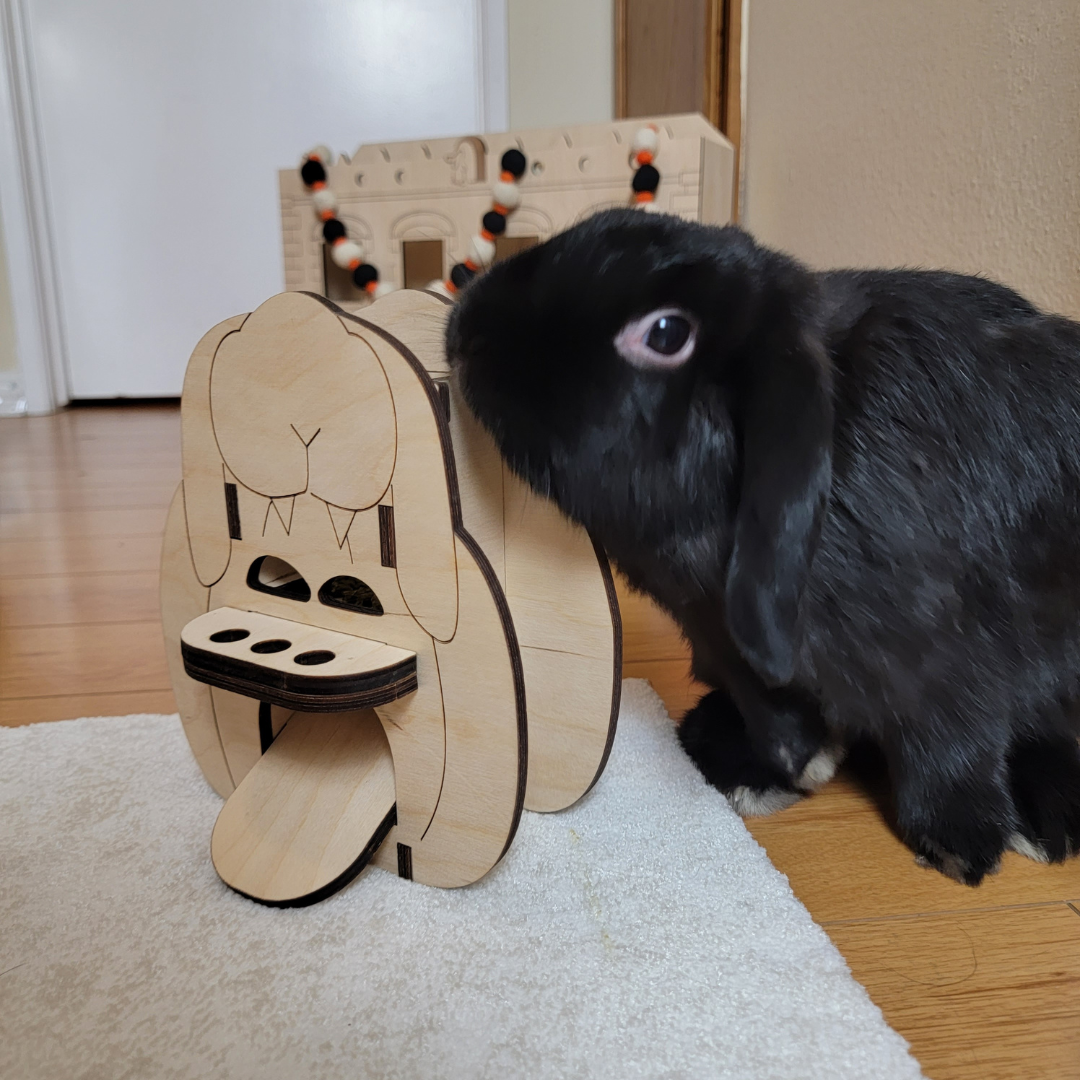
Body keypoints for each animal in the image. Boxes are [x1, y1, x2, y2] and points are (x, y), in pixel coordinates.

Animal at [446, 207, 1080, 886]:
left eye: (666, 334)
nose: (463, 328)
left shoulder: (940, 660)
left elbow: (952, 742)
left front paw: (959, 844)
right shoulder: (722, 641)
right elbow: (772, 711)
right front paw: (794, 765)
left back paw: (1048, 821)